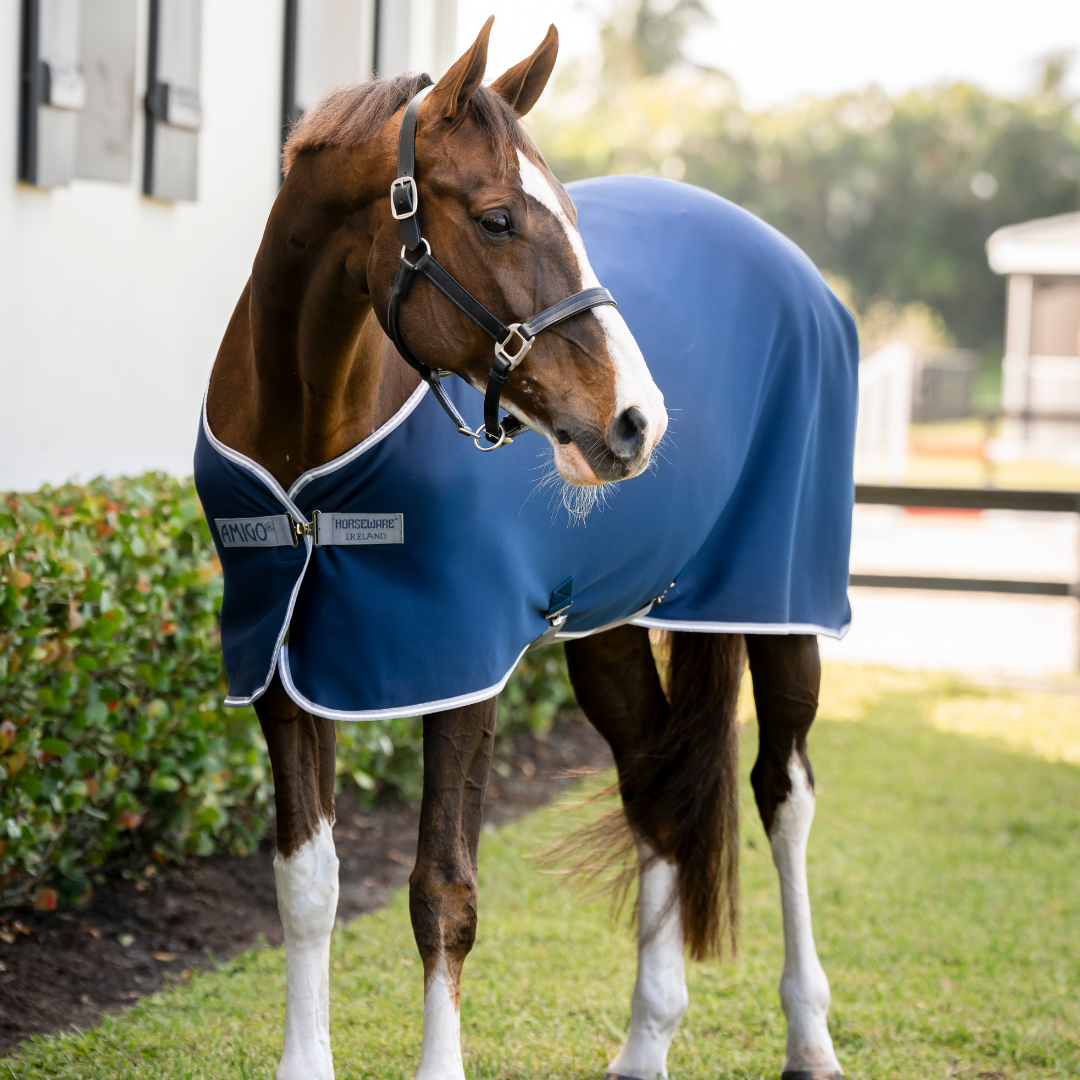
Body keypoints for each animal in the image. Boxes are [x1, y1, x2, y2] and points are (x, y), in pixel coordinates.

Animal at [198, 18, 856, 1080]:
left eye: (572, 214)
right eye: (499, 218)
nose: (637, 420)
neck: (310, 443)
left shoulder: (460, 661)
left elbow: (443, 892)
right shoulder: (283, 665)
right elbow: (306, 883)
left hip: (782, 601)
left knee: (781, 790)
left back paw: (810, 1036)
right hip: (611, 626)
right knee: (656, 784)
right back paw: (646, 1041)